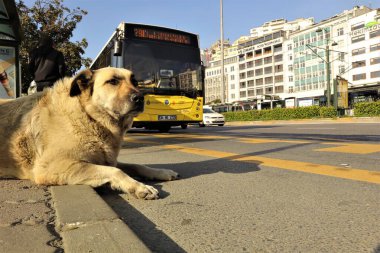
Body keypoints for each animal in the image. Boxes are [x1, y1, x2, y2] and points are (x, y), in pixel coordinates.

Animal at [0, 67, 178, 200]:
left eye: (135, 82)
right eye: (113, 81)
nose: (140, 98)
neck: (89, 117)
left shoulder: (107, 160)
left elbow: (136, 165)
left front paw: (160, 172)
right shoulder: (51, 168)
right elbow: (116, 171)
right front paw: (139, 186)